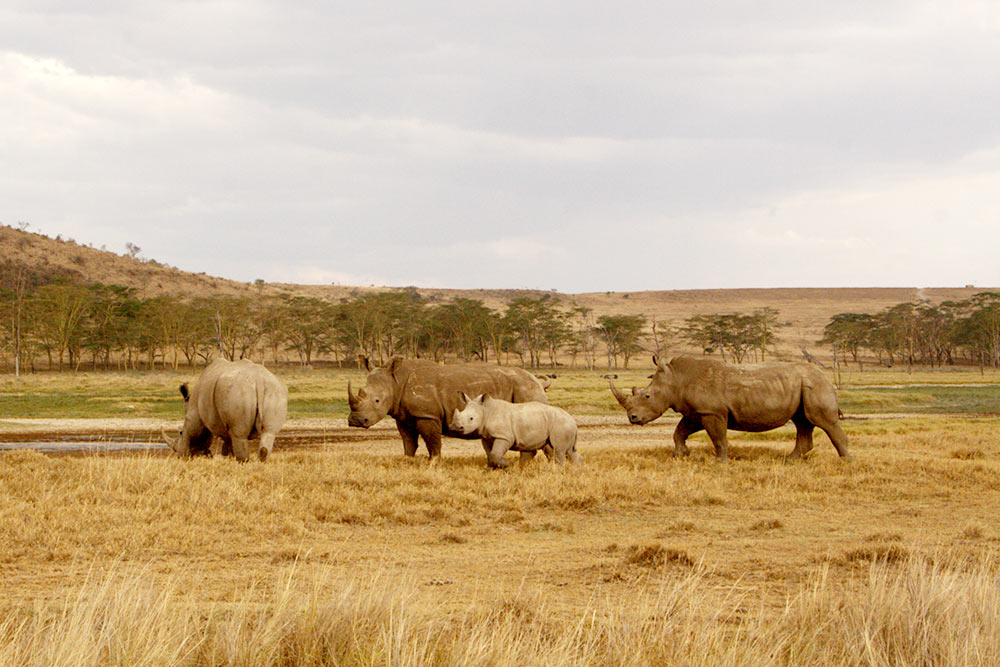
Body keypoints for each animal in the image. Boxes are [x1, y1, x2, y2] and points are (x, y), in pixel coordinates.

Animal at [348, 360, 552, 460]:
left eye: (377, 400)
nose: (356, 421)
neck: (395, 381)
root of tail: (537, 381)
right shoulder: (404, 415)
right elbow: (408, 441)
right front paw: (407, 460)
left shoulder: (427, 415)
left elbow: (432, 442)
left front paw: (434, 462)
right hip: (525, 389)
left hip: (526, 390)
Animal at [452, 392, 584, 470]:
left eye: (471, 418)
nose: (456, 427)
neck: (485, 410)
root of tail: (573, 421)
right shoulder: (486, 436)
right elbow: (490, 454)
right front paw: (489, 470)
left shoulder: (504, 436)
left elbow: (495, 454)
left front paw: (506, 465)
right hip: (561, 424)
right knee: (569, 451)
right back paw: (578, 471)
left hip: (560, 425)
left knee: (559, 450)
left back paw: (556, 471)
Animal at [608, 358, 852, 462]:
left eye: (647, 396)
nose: (632, 418)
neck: (676, 379)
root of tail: (826, 377)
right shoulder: (698, 412)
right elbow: (680, 431)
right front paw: (680, 454)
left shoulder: (712, 412)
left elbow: (718, 438)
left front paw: (719, 462)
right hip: (802, 385)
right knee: (802, 421)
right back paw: (790, 460)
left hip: (815, 384)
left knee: (822, 421)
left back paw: (845, 461)